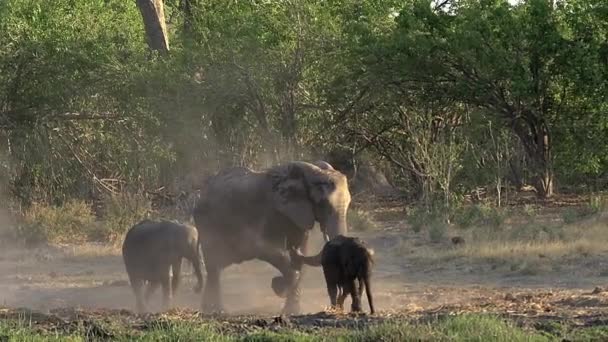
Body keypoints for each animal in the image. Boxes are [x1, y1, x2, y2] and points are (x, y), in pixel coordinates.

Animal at [192, 162, 350, 314]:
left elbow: (301, 255)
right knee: (214, 265)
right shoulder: (266, 212)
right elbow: (261, 246)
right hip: (206, 222)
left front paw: (292, 310)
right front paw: (279, 286)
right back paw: (217, 311)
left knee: (216, 266)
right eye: (323, 204)